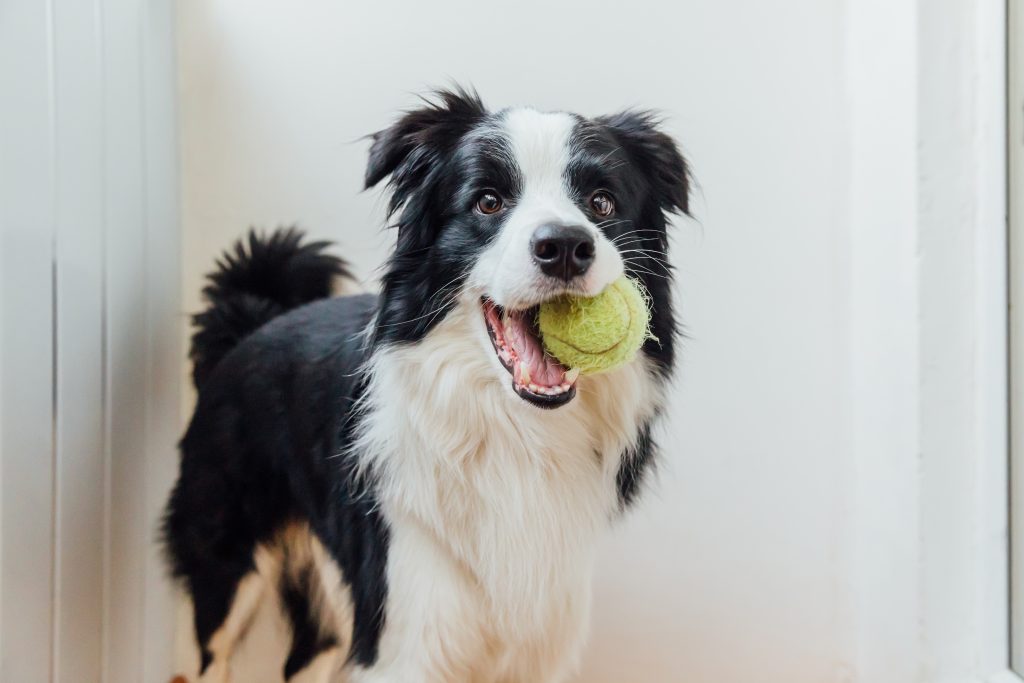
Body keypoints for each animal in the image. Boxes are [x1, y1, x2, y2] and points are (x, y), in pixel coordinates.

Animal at [163, 88, 692, 679]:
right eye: (488, 201)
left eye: (602, 203)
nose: (565, 246)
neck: (516, 433)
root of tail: (250, 324)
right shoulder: (406, 626)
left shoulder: (540, 632)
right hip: (225, 560)